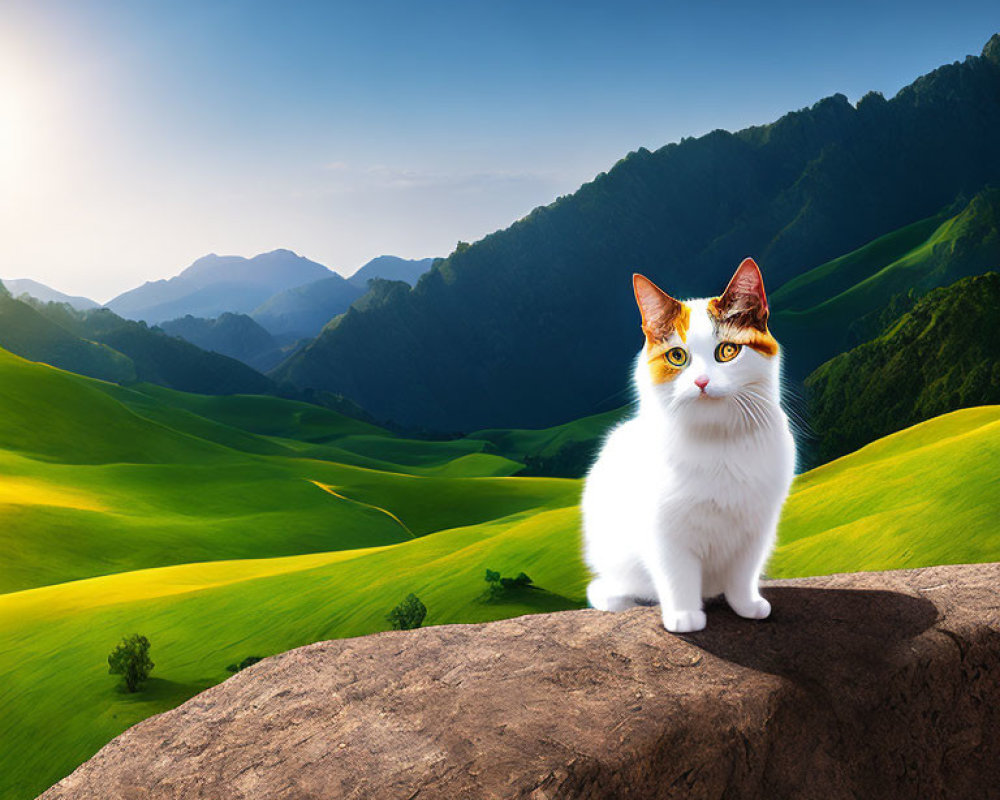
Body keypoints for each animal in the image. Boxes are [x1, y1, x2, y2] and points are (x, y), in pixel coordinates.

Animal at [584, 260, 792, 636]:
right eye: (677, 356)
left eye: (728, 351)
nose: (701, 381)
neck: (717, 438)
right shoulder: (665, 532)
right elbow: (677, 576)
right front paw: (684, 618)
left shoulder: (757, 527)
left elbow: (743, 574)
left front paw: (746, 605)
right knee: (605, 589)